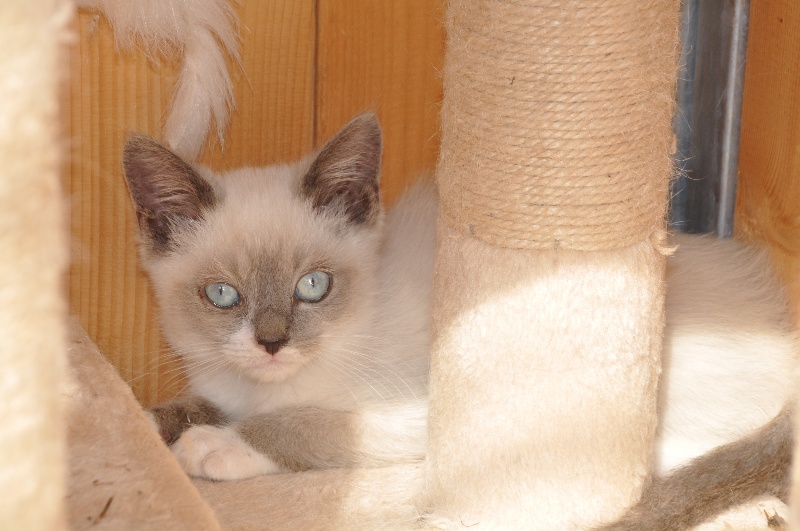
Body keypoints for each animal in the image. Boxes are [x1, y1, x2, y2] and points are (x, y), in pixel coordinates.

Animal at [125, 112, 792, 528]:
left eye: (312, 287)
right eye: (222, 295)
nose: (271, 344)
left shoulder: (413, 408)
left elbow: (316, 426)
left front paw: (217, 446)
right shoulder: (221, 381)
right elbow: (184, 406)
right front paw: (152, 428)